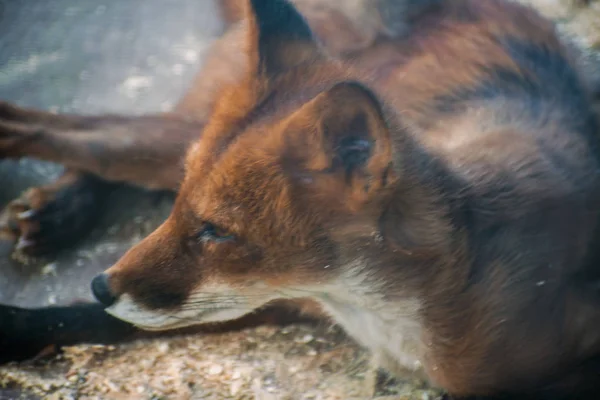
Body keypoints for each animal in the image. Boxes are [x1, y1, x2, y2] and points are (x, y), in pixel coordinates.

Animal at [1, 0, 600, 398]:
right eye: (181, 207)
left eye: (216, 231)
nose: (101, 284)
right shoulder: (284, 298)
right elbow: (81, 320)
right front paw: (17, 324)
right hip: (173, 138)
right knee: (83, 133)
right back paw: (54, 203)